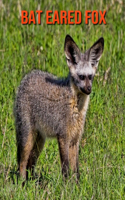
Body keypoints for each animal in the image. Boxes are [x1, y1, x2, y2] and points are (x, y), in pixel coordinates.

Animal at [14, 34, 104, 183]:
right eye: (81, 77)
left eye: (90, 77)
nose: (89, 90)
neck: (76, 109)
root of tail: (28, 76)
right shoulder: (63, 136)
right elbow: (66, 168)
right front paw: (66, 186)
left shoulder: (75, 140)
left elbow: (76, 170)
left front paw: (77, 186)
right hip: (28, 137)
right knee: (22, 163)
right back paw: (22, 184)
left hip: (40, 141)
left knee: (31, 163)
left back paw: (32, 184)